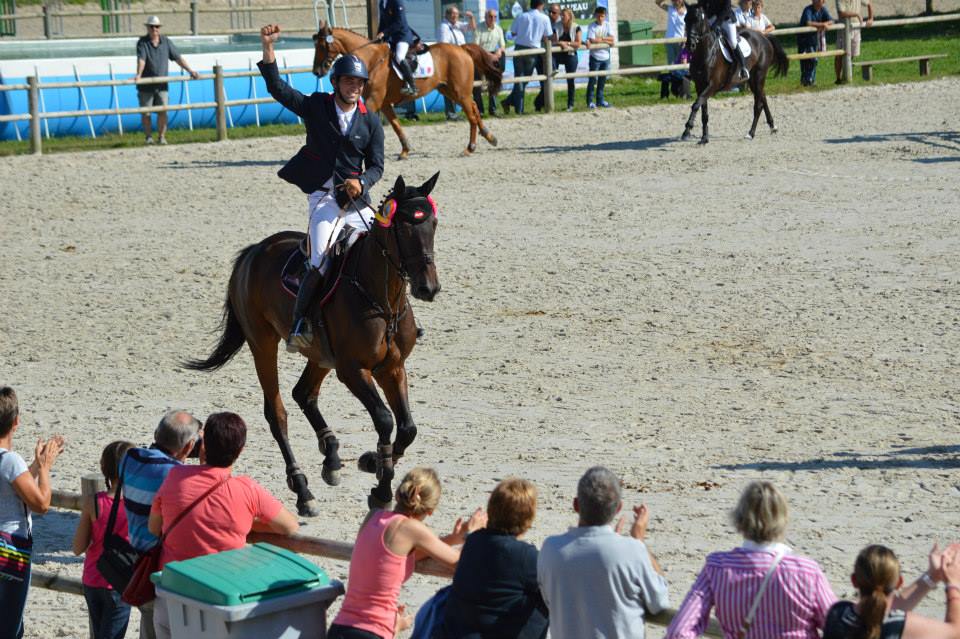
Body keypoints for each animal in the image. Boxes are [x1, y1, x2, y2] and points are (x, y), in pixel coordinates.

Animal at [184, 174, 442, 516]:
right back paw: (302, 490)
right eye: (403, 227)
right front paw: (382, 489)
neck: (382, 298)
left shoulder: (392, 368)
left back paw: (330, 456)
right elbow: (385, 419)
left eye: (433, 224)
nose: (428, 288)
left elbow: (408, 428)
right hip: (262, 342)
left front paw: (372, 461)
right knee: (277, 413)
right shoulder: (353, 370)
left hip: (321, 355)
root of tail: (254, 251)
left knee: (303, 393)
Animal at [314, 21, 502, 160]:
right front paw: (405, 151)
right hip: (449, 91)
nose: (317, 71)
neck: (371, 60)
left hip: (460, 92)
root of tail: (461, 48)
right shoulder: (384, 104)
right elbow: (396, 125)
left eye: (322, 46)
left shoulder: (374, 100)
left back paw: (470, 148)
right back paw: (490, 136)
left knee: (471, 115)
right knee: (475, 108)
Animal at [680, 3, 792, 144]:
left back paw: (751, 133)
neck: (705, 53)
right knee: (763, 98)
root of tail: (763, 37)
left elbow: (696, 105)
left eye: (698, 20)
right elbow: (703, 111)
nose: (690, 44)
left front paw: (687, 130)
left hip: (759, 76)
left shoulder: (712, 85)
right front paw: (704, 138)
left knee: (758, 105)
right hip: (752, 80)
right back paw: (772, 127)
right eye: (685, 20)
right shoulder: (700, 86)